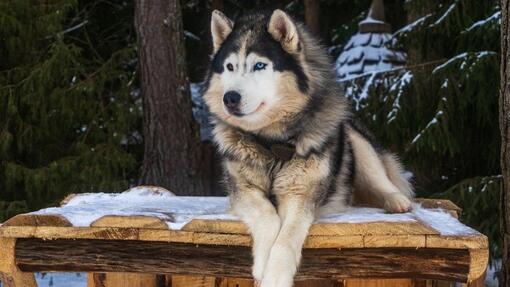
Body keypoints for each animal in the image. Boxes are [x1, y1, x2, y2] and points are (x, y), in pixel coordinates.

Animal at [201, 9, 412, 287]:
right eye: (229, 67)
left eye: (260, 65)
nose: (230, 98)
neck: (272, 145)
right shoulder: (243, 190)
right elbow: (268, 217)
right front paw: (263, 264)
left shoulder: (301, 195)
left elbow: (286, 239)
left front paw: (275, 277)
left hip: (356, 142)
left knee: (382, 179)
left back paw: (397, 201)